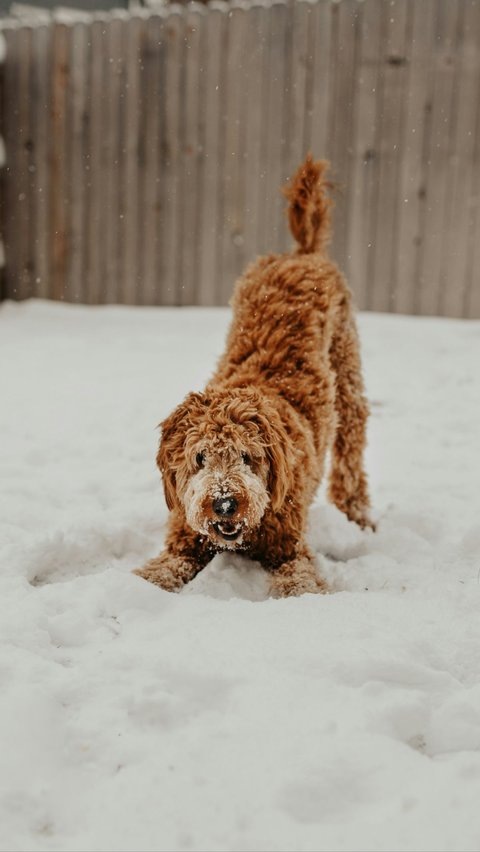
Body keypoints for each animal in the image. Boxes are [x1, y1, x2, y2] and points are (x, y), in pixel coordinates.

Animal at [135, 156, 376, 596]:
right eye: (199, 458)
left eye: (247, 456)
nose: (225, 502)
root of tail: (302, 252)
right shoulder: (183, 541)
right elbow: (157, 571)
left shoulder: (290, 549)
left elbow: (301, 583)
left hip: (347, 367)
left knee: (352, 445)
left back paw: (358, 515)